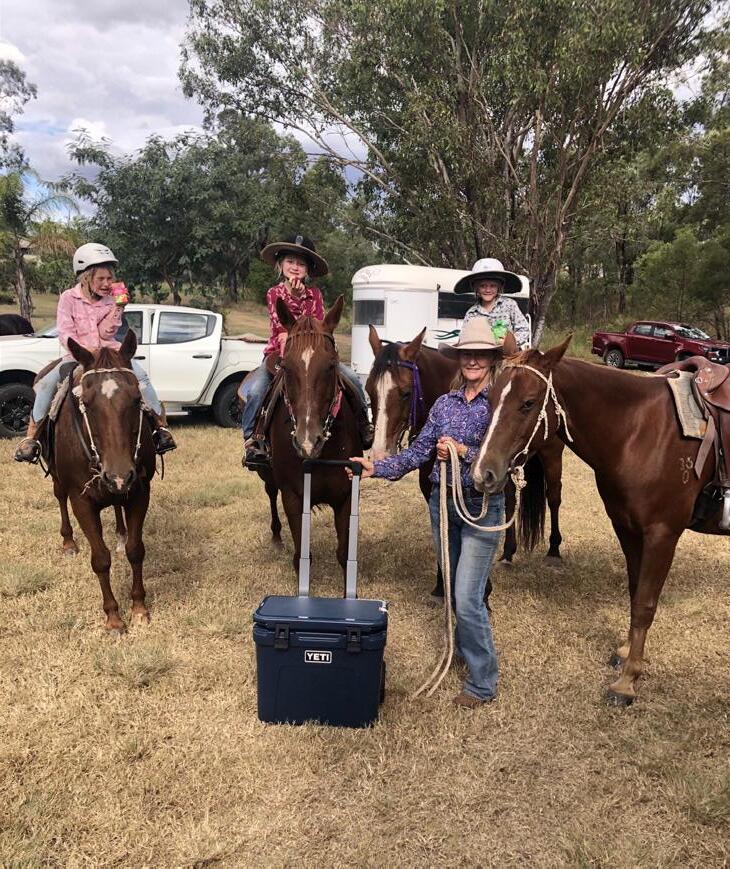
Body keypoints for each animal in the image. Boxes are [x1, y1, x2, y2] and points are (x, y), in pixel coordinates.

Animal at [44, 330, 157, 633]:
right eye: (87, 402)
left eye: (136, 398)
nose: (118, 474)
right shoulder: (81, 501)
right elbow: (100, 559)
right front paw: (114, 617)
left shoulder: (140, 492)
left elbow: (135, 550)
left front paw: (139, 608)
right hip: (59, 479)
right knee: (59, 497)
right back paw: (68, 543)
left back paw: (119, 533)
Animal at [265, 295, 364, 588]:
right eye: (285, 366)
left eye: (331, 365)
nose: (308, 442)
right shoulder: (293, 497)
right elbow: (302, 558)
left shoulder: (346, 497)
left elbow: (344, 555)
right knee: (270, 494)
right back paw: (276, 537)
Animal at [365, 325, 566, 596]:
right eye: (369, 391)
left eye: (405, 393)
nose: (379, 454)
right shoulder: (432, 484)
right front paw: (441, 585)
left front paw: (482, 587)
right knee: (511, 500)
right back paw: (508, 553)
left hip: (552, 456)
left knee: (553, 496)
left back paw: (554, 550)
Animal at [471, 337, 730, 704]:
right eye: (490, 398)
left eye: (528, 403)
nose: (483, 473)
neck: (638, 432)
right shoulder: (626, 527)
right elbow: (635, 591)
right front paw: (626, 652)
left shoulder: (662, 534)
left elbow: (646, 604)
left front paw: (627, 680)